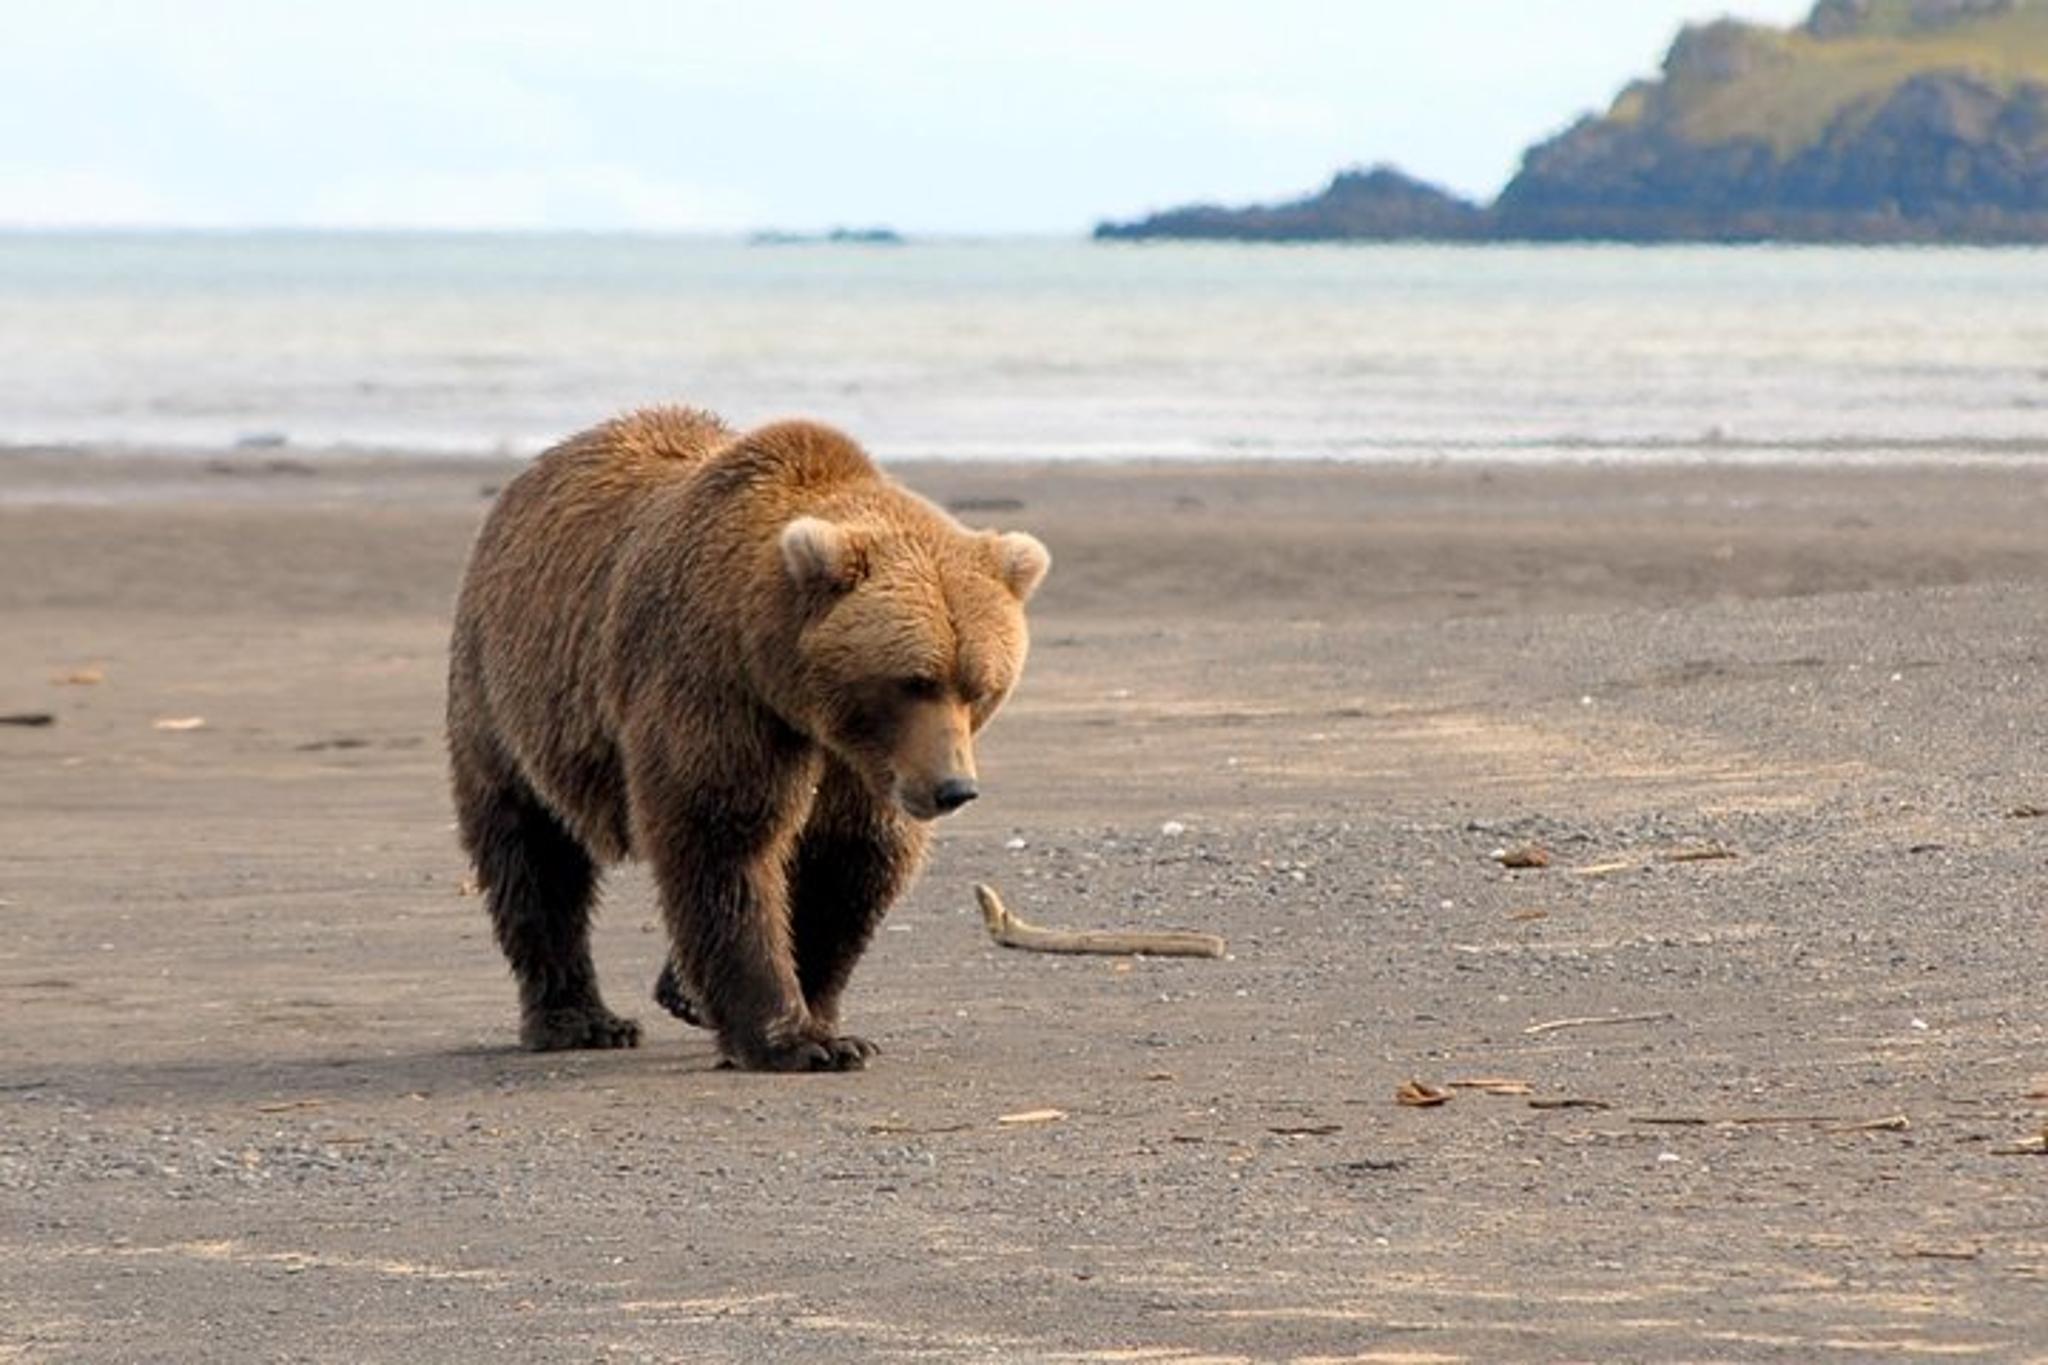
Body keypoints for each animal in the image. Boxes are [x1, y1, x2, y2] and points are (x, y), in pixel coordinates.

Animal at [446, 407, 1049, 1071]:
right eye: (914, 680)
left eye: (981, 687)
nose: (952, 788)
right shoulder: (716, 690)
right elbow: (723, 838)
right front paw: (795, 1039)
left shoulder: (864, 764)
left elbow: (851, 859)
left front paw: (823, 1019)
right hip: (508, 696)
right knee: (532, 854)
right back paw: (580, 1019)